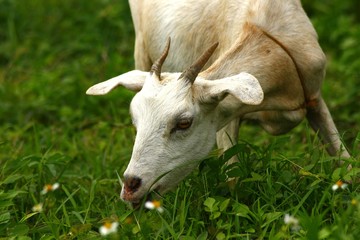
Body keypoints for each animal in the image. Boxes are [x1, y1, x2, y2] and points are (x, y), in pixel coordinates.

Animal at [86, 0, 348, 204]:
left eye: (184, 123)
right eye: (135, 121)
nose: (131, 186)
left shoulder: (314, 98)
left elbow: (344, 161)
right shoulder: (226, 118)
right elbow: (233, 181)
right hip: (140, 47)